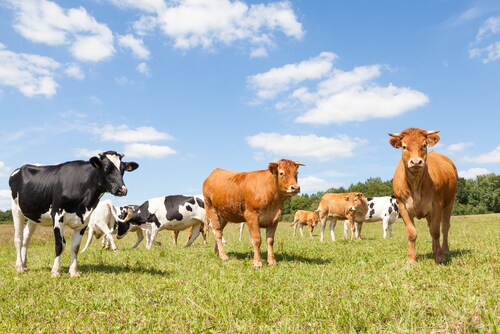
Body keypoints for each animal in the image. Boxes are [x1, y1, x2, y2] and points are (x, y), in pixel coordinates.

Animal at [9, 151, 139, 276]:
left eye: (123, 169)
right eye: (106, 168)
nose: (122, 190)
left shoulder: (84, 220)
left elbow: (75, 247)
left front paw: (74, 271)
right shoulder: (57, 215)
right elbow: (60, 244)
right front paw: (55, 271)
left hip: (33, 216)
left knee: (26, 238)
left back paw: (24, 265)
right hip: (16, 209)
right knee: (18, 238)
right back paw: (19, 267)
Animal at [388, 127, 458, 264]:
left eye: (424, 145)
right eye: (404, 146)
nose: (416, 162)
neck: (416, 185)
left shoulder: (437, 205)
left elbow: (435, 231)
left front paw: (440, 257)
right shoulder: (402, 206)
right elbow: (412, 233)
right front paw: (411, 259)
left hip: (449, 202)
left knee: (445, 227)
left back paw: (444, 250)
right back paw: (434, 249)